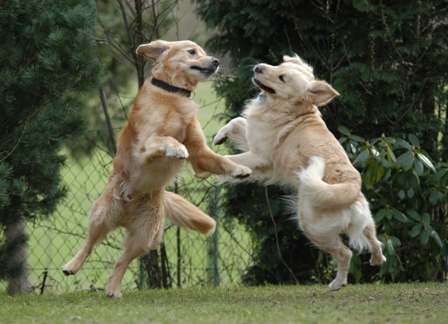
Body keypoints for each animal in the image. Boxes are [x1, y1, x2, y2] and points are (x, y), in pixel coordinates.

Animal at [62, 39, 252, 296]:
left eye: (203, 51)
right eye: (192, 52)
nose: (216, 61)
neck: (173, 93)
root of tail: (127, 213)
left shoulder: (200, 156)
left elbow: (220, 160)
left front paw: (238, 170)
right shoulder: (145, 145)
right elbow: (166, 140)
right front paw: (177, 148)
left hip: (147, 235)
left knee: (122, 261)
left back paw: (113, 289)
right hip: (104, 213)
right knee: (90, 242)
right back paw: (72, 265)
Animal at [214, 55, 384, 292]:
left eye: (282, 77)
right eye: (278, 65)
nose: (258, 67)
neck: (289, 110)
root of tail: (349, 186)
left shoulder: (260, 156)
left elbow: (229, 158)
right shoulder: (253, 140)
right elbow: (237, 121)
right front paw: (219, 136)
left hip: (311, 227)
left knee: (345, 253)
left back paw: (337, 283)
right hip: (364, 219)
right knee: (375, 240)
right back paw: (377, 259)